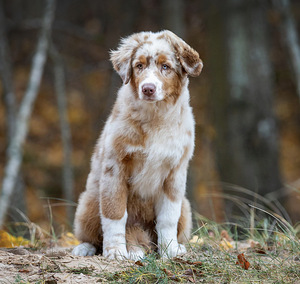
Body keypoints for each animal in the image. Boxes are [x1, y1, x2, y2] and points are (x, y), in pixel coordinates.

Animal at [72, 29, 203, 260]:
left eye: (165, 66)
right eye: (139, 65)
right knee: (95, 233)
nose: (148, 88)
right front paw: (116, 252)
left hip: (186, 208)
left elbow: (168, 217)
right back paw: (90, 248)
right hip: (88, 201)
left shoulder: (176, 172)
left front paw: (170, 251)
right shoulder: (115, 167)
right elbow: (114, 214)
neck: (155, 118)